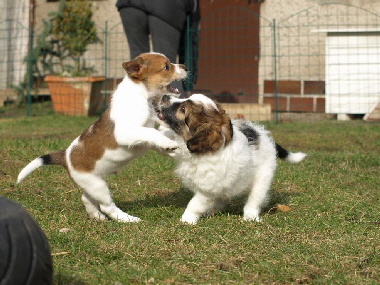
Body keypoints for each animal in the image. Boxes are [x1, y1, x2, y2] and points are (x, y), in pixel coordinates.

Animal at [17, 52, 187, 222]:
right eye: (166, 66)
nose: (185, 66)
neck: (141, 96)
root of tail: (64, 156)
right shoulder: (125, 132)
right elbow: (151, 133)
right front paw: (169, 144)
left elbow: (157, 134)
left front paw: (171, 144)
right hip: (97, 185)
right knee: (107, 206)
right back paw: (128, 219)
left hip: (92, 184)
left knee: (86, 198)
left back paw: (97, 216)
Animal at [154, 94, 306, 223]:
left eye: (183, 109)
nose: (165, 96)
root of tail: (264, 137)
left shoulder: (207, 189)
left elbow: (195, 204)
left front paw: (187, 220)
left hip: (262, 178)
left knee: (254, 199)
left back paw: (250, 216)